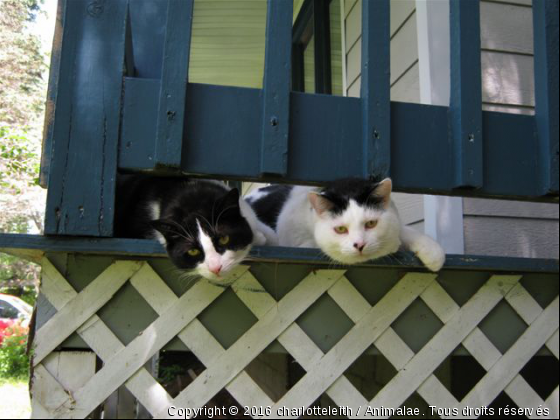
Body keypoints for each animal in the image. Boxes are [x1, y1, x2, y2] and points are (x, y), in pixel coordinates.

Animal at [247, 177, 444, 272]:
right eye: (340, 229)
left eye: (371, 223)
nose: (360, 244)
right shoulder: (289, 237)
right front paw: (392, 245)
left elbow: (404, 229)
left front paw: (433, 252)